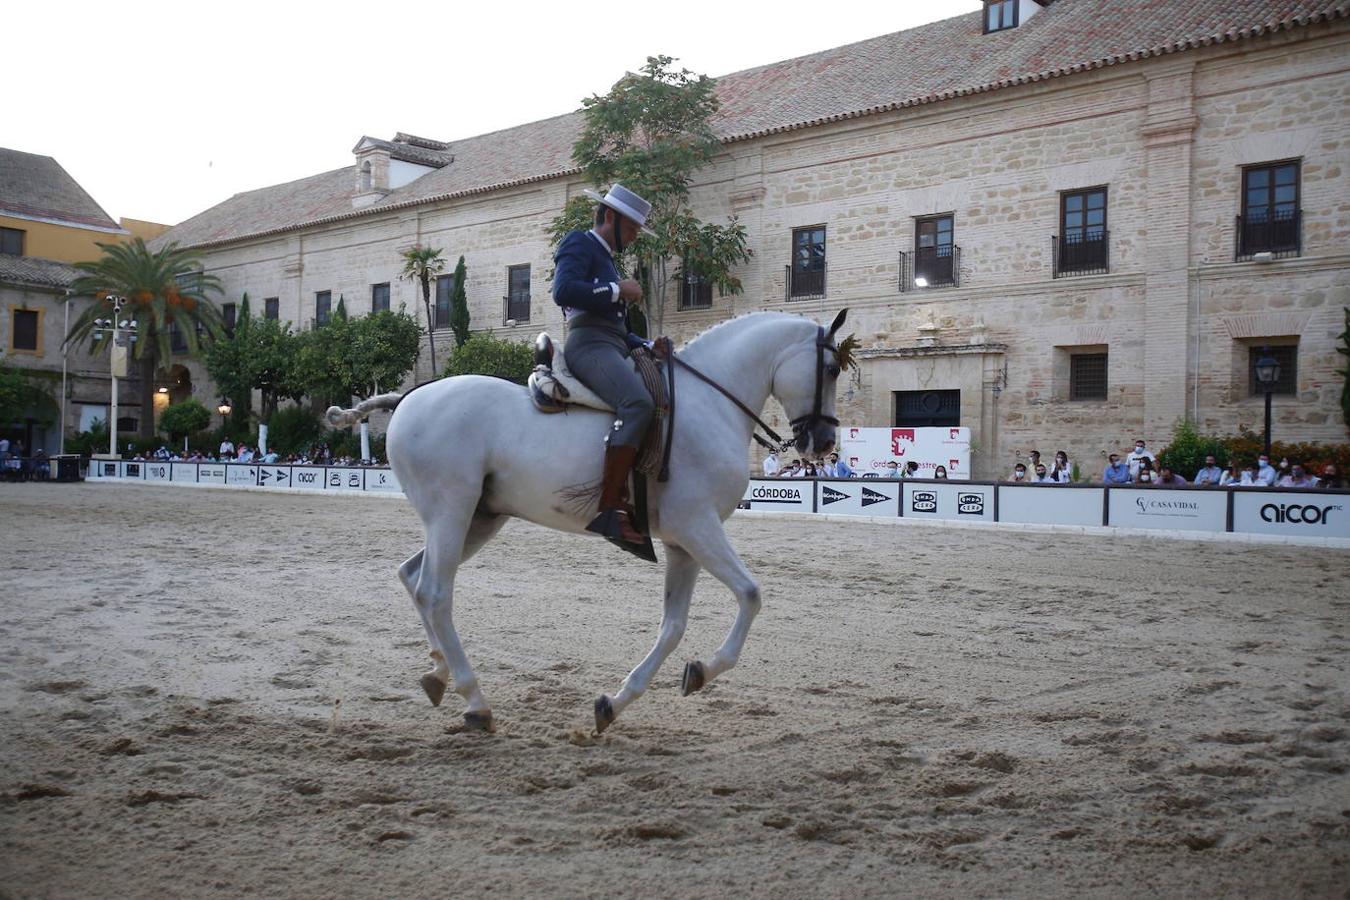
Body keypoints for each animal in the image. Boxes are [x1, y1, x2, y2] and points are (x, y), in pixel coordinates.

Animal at [328, 310, 847, 734]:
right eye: (832, 369)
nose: (823, 442)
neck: (709, 403)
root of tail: (410, 397)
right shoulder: (698, 527)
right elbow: (750, 594)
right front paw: (705, 668)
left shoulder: (682, 542)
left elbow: (673, 626)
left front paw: (617, 703)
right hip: (450, 512)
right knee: (435, 593)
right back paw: (474, 700)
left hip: (477, 519)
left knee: (413, 578)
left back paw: (438, 672)